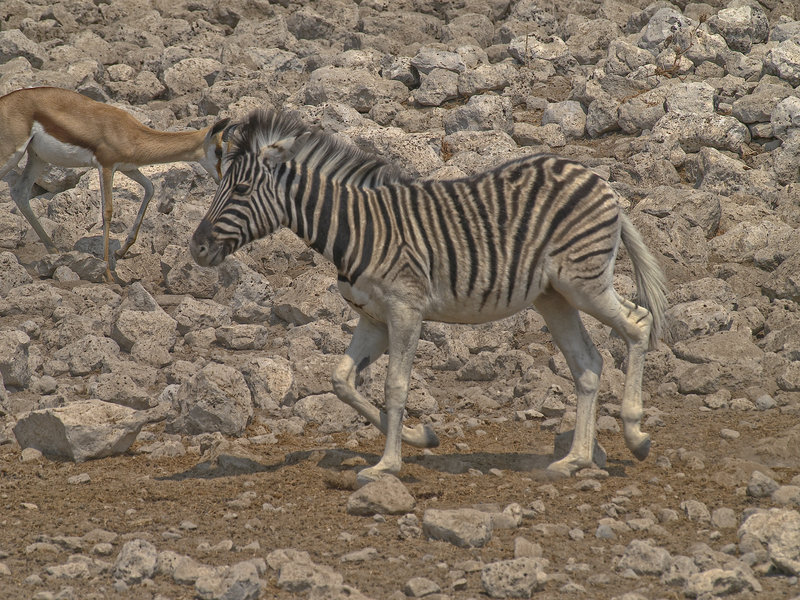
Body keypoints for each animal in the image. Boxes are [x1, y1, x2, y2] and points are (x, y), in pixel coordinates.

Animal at [190, 109, 668, 482]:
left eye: (241, 190)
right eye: (219, 185)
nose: (195, 248)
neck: (355, 228)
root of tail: (597, 180)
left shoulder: (405, 310)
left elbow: (395, 386)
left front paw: (387, 465)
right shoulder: (373, 317)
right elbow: (342, 381)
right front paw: (418, 436)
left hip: (584, 284)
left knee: (638, 323)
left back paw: (635, 436)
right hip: (554, 297)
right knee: (588, 365)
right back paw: (576, 460)